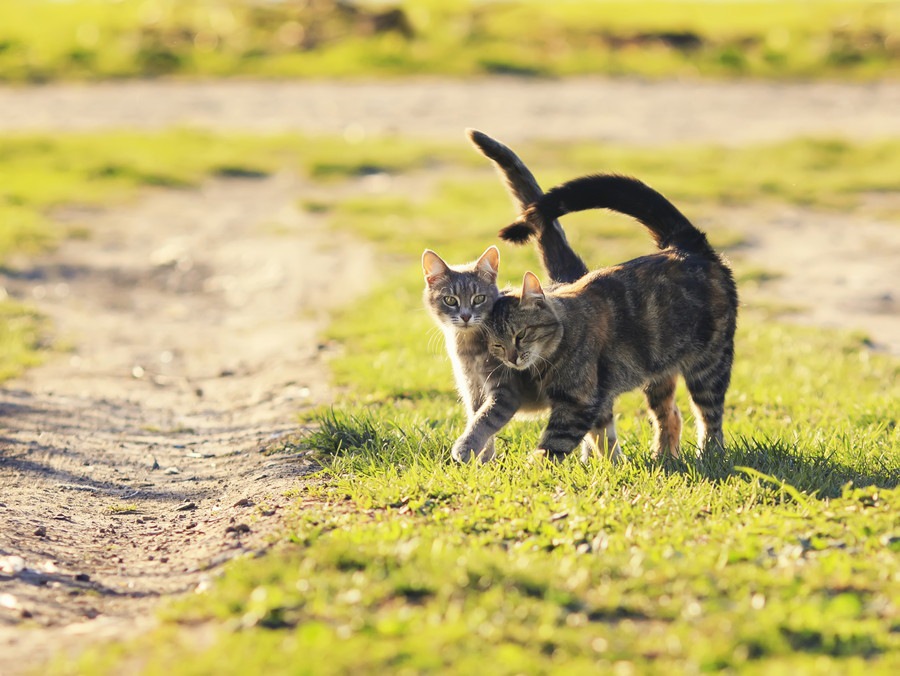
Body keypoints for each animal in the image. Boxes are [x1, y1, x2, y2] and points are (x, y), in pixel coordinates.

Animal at [450, 172, 740, 462]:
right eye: (497, 345)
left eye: (520, 335)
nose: (512, 358)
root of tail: (686, 245)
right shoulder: (596, 400)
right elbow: (603, 436)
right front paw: (613, 464)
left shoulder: (578, 403)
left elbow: (552, 446)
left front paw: (531, 467)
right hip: (659, 373)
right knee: (670, 415)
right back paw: (663, 456)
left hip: (709, 365)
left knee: (710, 417)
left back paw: (709, 454)